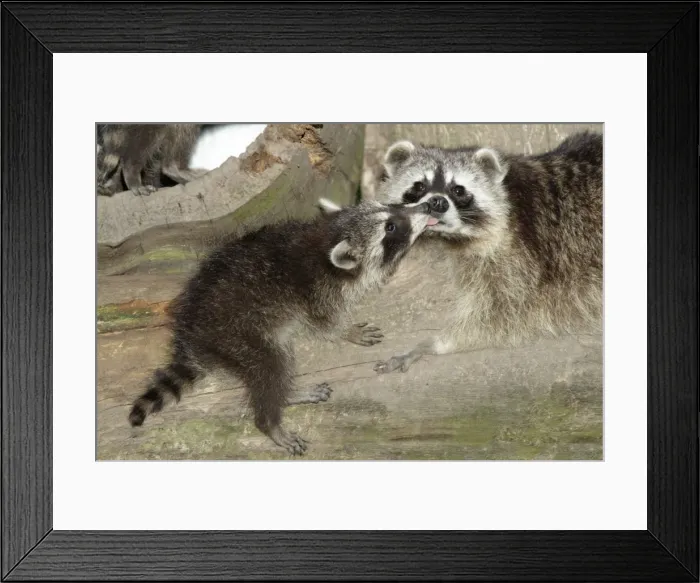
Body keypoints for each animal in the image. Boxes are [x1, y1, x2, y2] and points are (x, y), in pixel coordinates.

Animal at [128, 199, 436, 455]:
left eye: (393, 205)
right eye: (390, 227)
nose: (429, 205)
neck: (326, 238)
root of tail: (192, 336)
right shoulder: (317, 292)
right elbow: (325, 324)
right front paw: (348, 332)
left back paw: (288, 395)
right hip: (238, 335)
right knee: (271, 367)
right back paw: (271, 419)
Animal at [374, 131, 603, 374]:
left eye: (458, 190)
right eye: (419, 186)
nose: (437, 202)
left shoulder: (523, 256)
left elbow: (507, 314)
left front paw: (435, 343)